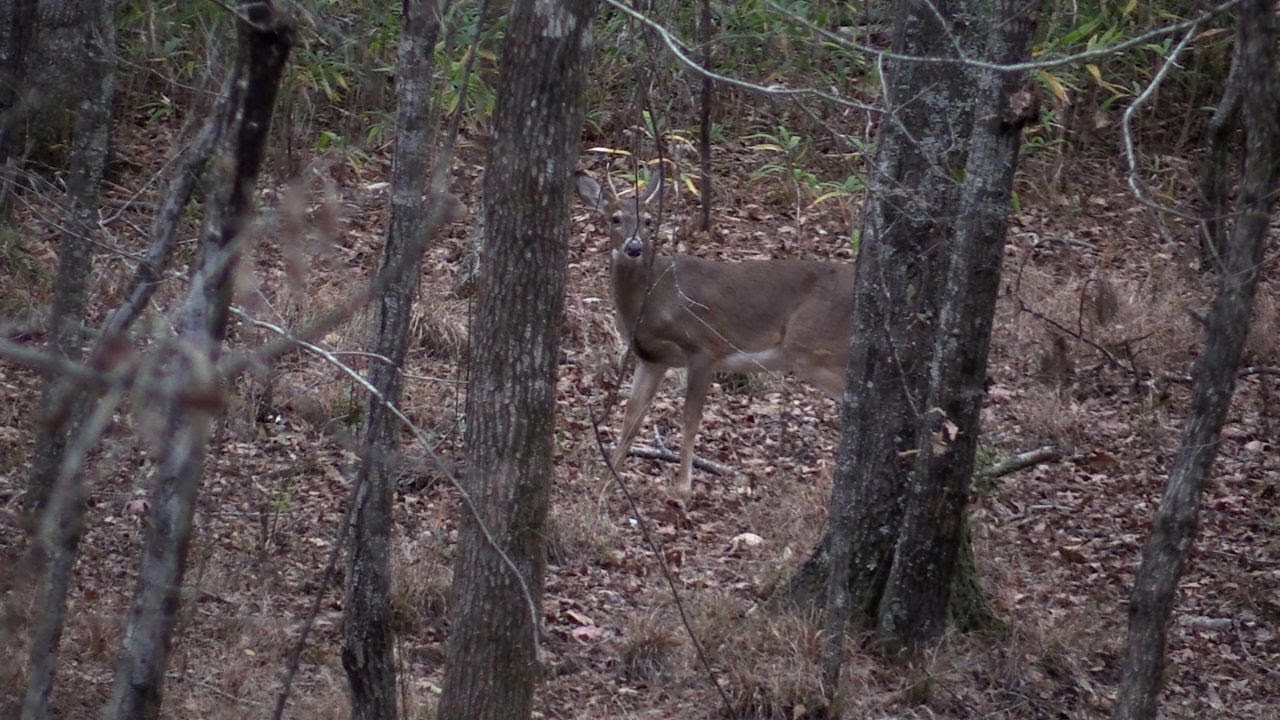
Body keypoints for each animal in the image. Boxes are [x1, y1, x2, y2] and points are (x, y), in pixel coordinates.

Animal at [576, 166, 856, 497]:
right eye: (615, 218)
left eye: (648, 220)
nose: (634, 248)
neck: (652, 298)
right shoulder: (652, 358)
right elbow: (632, 417)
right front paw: (606, 483)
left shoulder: (704, 346)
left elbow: (690, 418)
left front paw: (682, 488)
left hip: (814, 347)